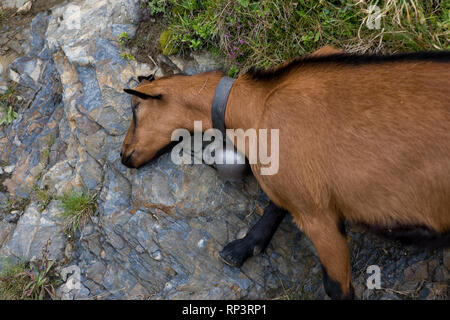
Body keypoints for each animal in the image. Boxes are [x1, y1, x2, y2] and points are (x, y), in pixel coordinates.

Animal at [120, 47, 450, 300]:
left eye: (136, 108)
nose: (124, 156)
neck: (254, 105)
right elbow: (275, 204)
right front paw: (243, 247)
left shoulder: (318, 215)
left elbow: (337, 287)